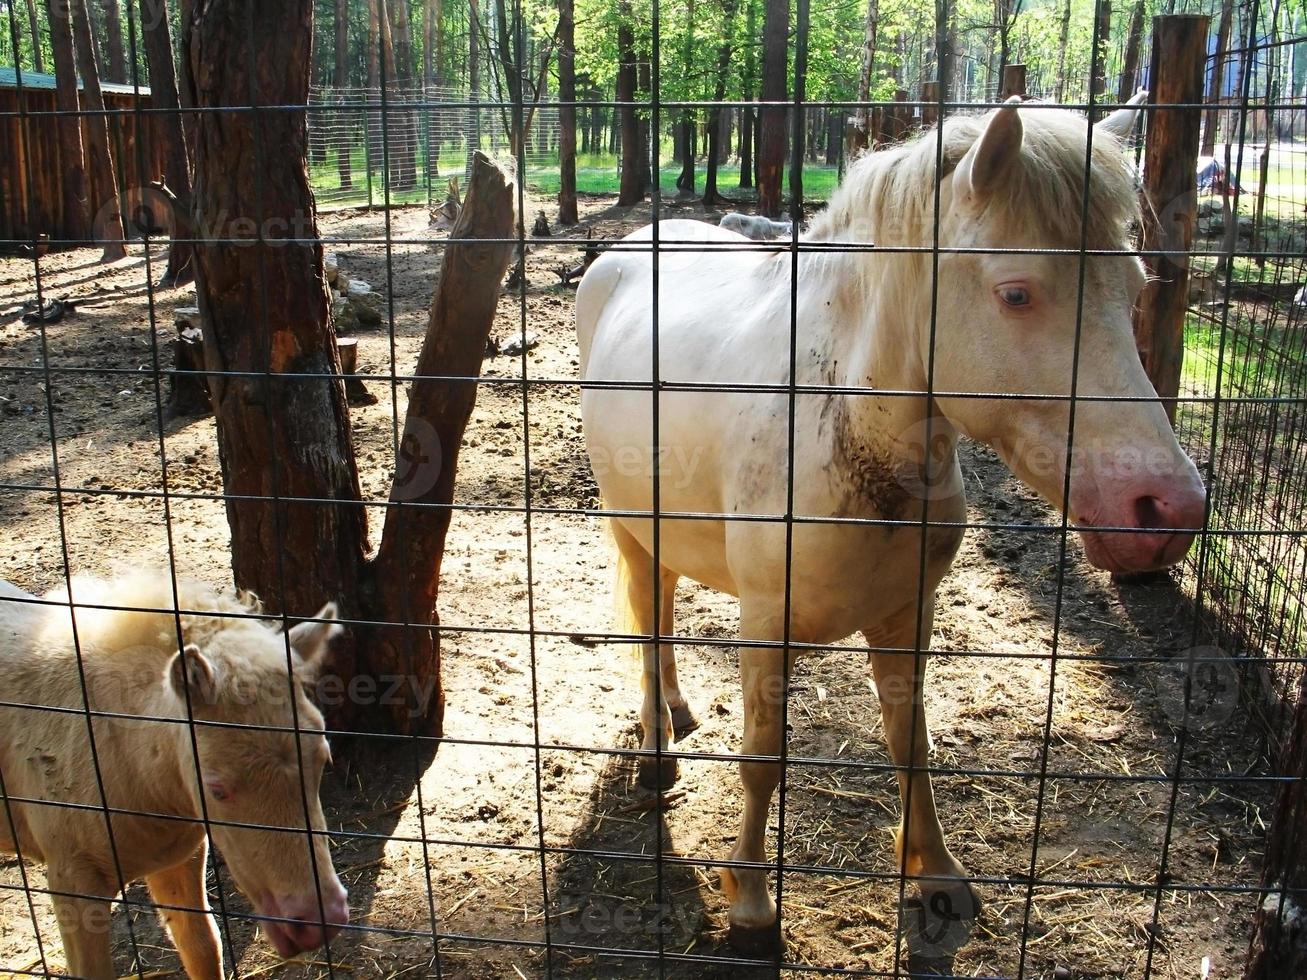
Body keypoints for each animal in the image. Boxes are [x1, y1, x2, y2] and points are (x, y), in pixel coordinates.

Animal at [0, 572, 347, 977]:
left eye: (323, 761)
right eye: (216, 789)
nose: (318, 922)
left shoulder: (180, 857)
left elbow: (202, 946)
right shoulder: (72, 879)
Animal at [577, 97, 1207, 961]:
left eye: (1134, 285)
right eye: (1016, 293)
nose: (1166, 509)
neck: (852, 426)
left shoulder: (908, 614)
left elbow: (912, 744)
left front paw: (935, 875)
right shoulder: (765, 627)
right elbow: (762, 759)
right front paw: (751, 904)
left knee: (664, 605)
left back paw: (673, 709)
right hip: (628, 524)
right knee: (646, 619)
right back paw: (652, 746)